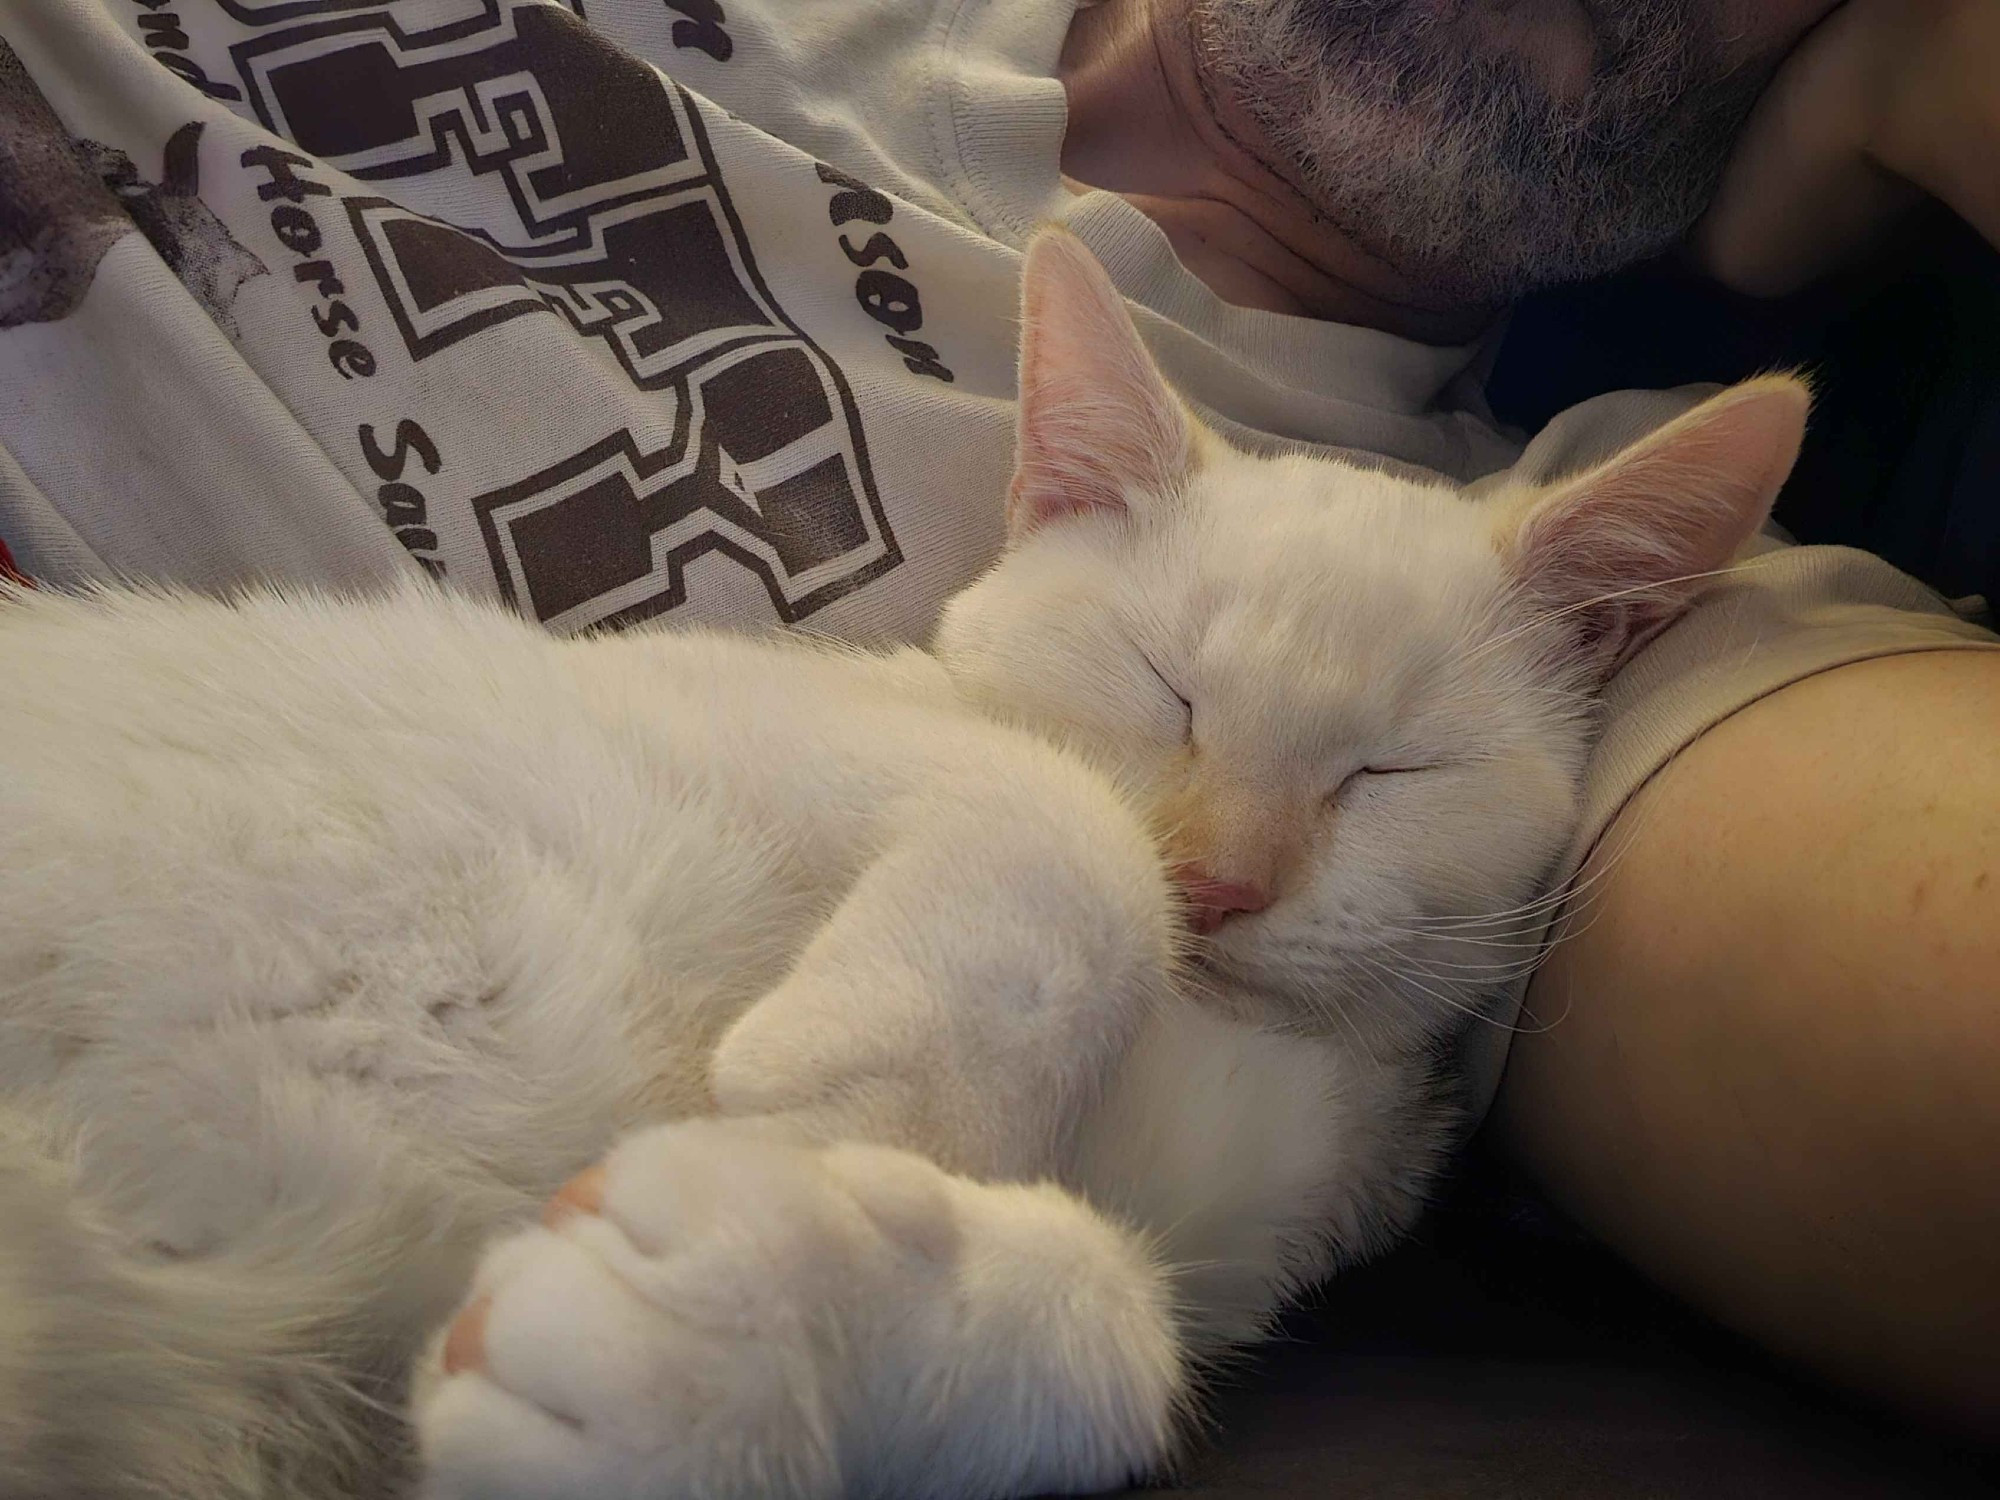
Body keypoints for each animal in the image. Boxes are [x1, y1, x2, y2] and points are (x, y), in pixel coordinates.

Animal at [0, 232, 1816, 1500]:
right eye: (1169, 688)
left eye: (1389, 774)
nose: (1224, 882)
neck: (1254, 1050)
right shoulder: (740, 718)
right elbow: (1075, 831)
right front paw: (871, 1109)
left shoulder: (1227, 1236)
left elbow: (1116, 1337)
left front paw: (743, 1319)